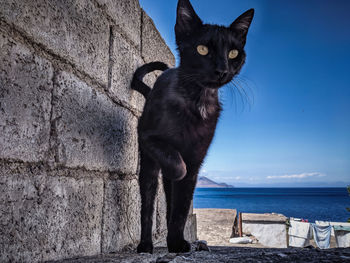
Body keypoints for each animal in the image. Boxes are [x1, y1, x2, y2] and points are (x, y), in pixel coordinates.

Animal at [131, 0, 254, 255]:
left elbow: (180, 208)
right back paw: (145, 244)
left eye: (233, 53)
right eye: (202, 49)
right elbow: (178, 167)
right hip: (148, 165)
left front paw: (177, 243)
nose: (222, 70)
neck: (197, 100)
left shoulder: (196, 158)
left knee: (172, 202)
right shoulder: (148, 137)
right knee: (148, 205)